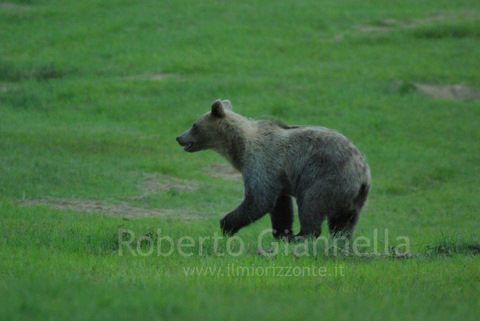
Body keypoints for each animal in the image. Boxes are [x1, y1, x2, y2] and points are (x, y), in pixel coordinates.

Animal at [176, 99, 372, 239]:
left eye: (194, 125)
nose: (179, 137)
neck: (240, 148)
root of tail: (362, 173)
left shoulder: (261, 163)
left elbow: (258, 200)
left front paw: (226, 225)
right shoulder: (278, 177)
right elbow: (280, 205)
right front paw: (282, 233)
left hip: (326, 176)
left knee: (311, 204)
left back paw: (302, 235)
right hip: (353, 197)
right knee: (345, 221)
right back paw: (339, 240)